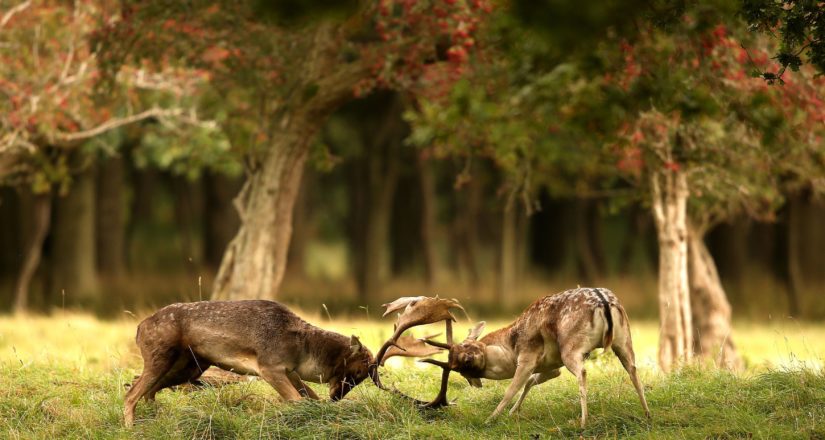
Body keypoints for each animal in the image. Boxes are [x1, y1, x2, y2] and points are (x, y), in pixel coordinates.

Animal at [123, 299, 436, 427]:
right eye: (357, 370)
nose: (337, 396)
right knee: (132, 393)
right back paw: (131, 427)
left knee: (145, 388)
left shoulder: (290, 371)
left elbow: (309, 398)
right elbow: (296, 401)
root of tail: (138, 328)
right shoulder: (268, 367)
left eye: (361, 380)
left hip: (191, 365)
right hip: (160, 355)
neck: (301, 350)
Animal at [373, 288, 651, 427]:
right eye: (459, 366)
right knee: (633, 369)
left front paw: (491, 418)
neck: (510, 346)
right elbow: (530, 382)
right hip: (623, 339)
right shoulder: (553, 365)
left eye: (465, 348)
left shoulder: (528, 355)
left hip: (571, 347)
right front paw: (512, 413)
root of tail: (605, 301)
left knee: (583, 373)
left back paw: (582, 422)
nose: (469, 358)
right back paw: (647, 413)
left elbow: (511, 388)